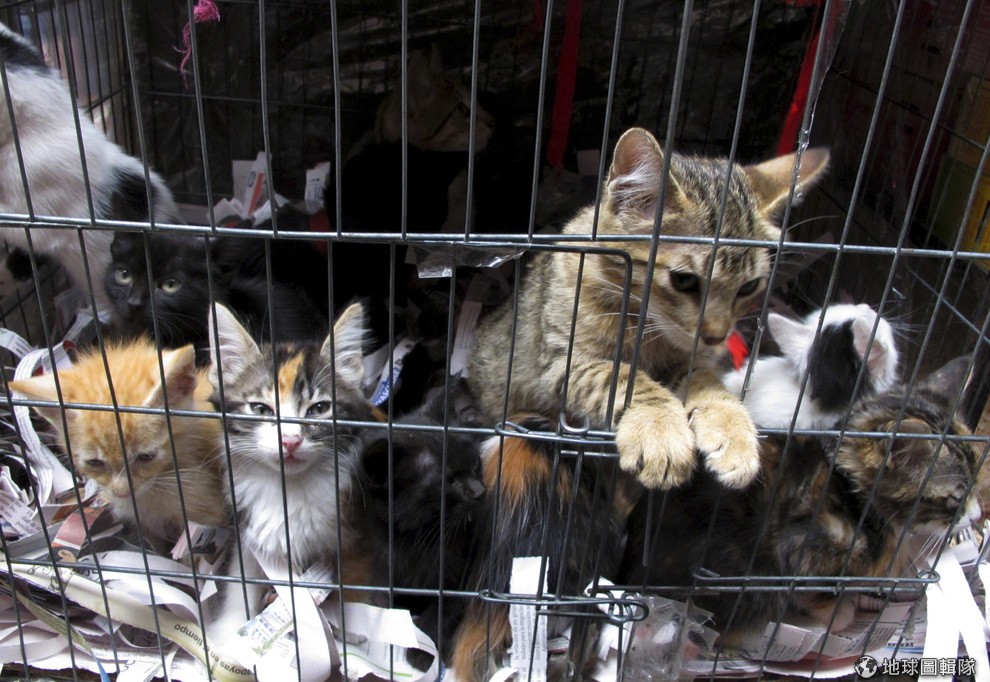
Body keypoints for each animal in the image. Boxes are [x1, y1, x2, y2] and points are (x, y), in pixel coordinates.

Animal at [206, 301, 373, 644]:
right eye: (260, 409)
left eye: (319, 409)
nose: (291, 440)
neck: (288, 487)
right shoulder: (248, 526)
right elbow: (242, 573)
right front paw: (231, 629)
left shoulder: (355, 532)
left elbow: (355, 585)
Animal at [350, 381, 485, 666]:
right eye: (449, 481)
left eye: (475, 463)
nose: (480, 492)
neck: (415, 538)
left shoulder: (461, 575)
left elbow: (445, 610)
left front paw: (424, 650)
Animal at [621, 355, 982, 646]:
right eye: (957, 495)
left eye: (979, 480)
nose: (978, 515)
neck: (852, 492)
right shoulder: (804, 545)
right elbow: (811, 589)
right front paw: (841, 613)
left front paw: (867, 598)